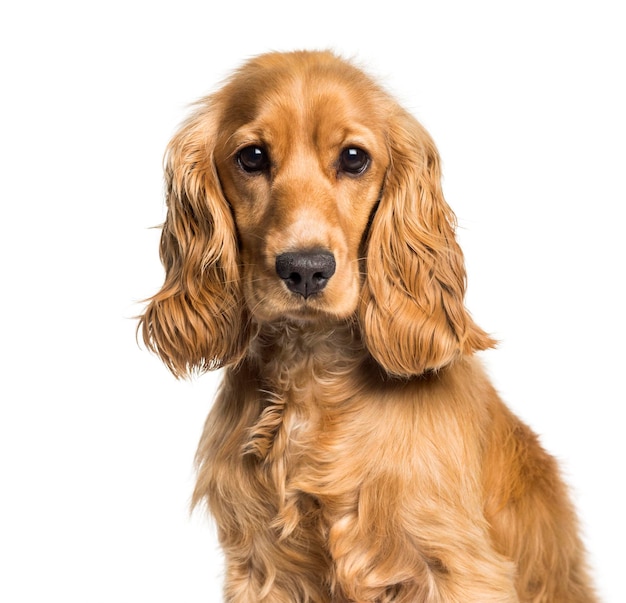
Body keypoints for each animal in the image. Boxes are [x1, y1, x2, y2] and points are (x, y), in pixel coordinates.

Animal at [140, 50, 596, 603]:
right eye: (251, 157)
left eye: (354, 157)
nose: (306, 269)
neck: (312, 374)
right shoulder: (259, 565)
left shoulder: (458, 566)